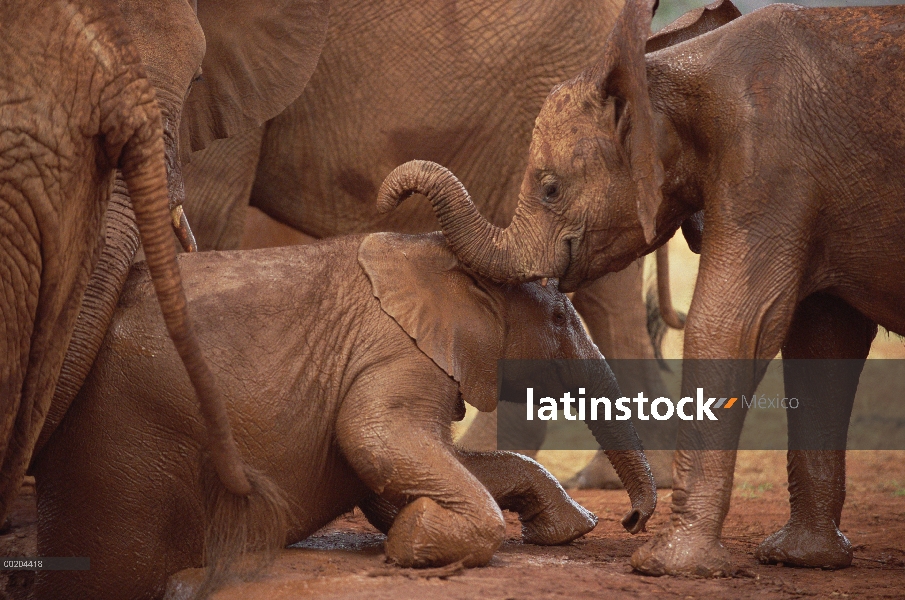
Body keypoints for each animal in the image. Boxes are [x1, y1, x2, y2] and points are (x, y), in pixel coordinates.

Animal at [31, 233, 652, 600]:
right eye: (558, 319)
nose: (632, 521)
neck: (448, 265)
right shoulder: (397, 352)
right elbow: (375, 438)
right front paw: (412, 543)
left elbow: (401, 472)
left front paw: (567, 529)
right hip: (123, 448)